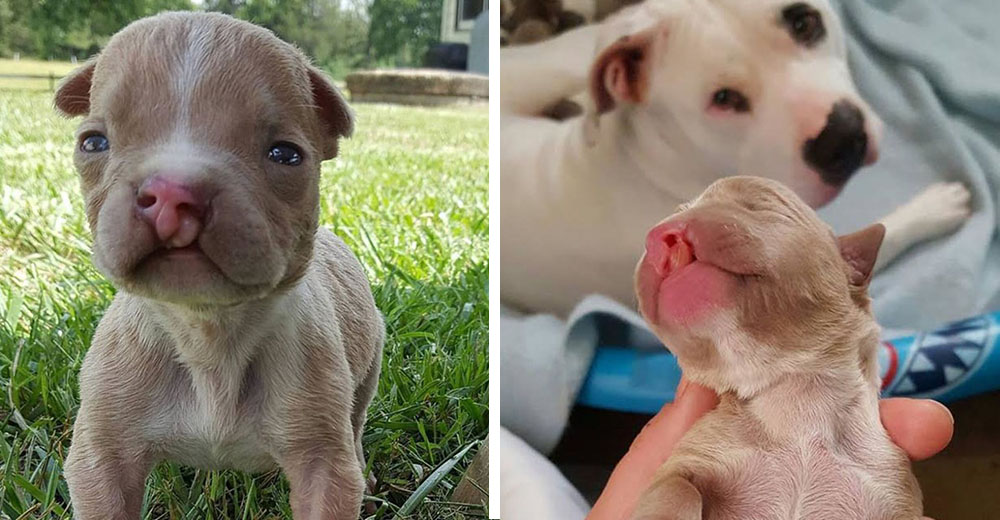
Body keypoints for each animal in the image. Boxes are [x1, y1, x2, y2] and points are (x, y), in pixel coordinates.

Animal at [54, 12, 382, 520]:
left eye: (286, 154)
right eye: (94, 142)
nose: (172, 192)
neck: (208, 332)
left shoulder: (323, 466)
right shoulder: (100, 459)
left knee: (358, 416)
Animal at [632, 176, 920, 520]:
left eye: (760, 203)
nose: (658, 236)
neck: (798, 406)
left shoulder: (894, 489)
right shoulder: (690, 459)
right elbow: (677, 488)